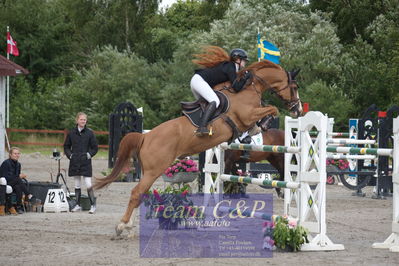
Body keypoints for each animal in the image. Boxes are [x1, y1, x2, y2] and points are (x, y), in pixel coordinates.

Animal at [93, 60, 300, 237]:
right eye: (295, 87)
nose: (298, 110)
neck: (249, 89)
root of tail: (145, 136)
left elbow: (268, 110)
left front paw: (256, 128)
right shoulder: (247, 115)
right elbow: (272, 109)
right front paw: (260, 125)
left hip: (149, 170)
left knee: (140, 193)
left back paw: (129, 227)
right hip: (154, 170)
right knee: (136, 193)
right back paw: (122, 226)